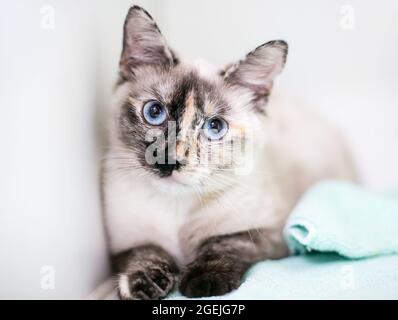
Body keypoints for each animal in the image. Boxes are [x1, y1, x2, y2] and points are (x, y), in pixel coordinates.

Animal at [102, 5, 354, 300]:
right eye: (154, 112)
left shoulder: (272, 234)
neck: (176, 207)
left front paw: (203, 282)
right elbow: (146, 251)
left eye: (215, 127)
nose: (169, 161)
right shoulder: (123, 243)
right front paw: (144, 283)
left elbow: (226, 243)